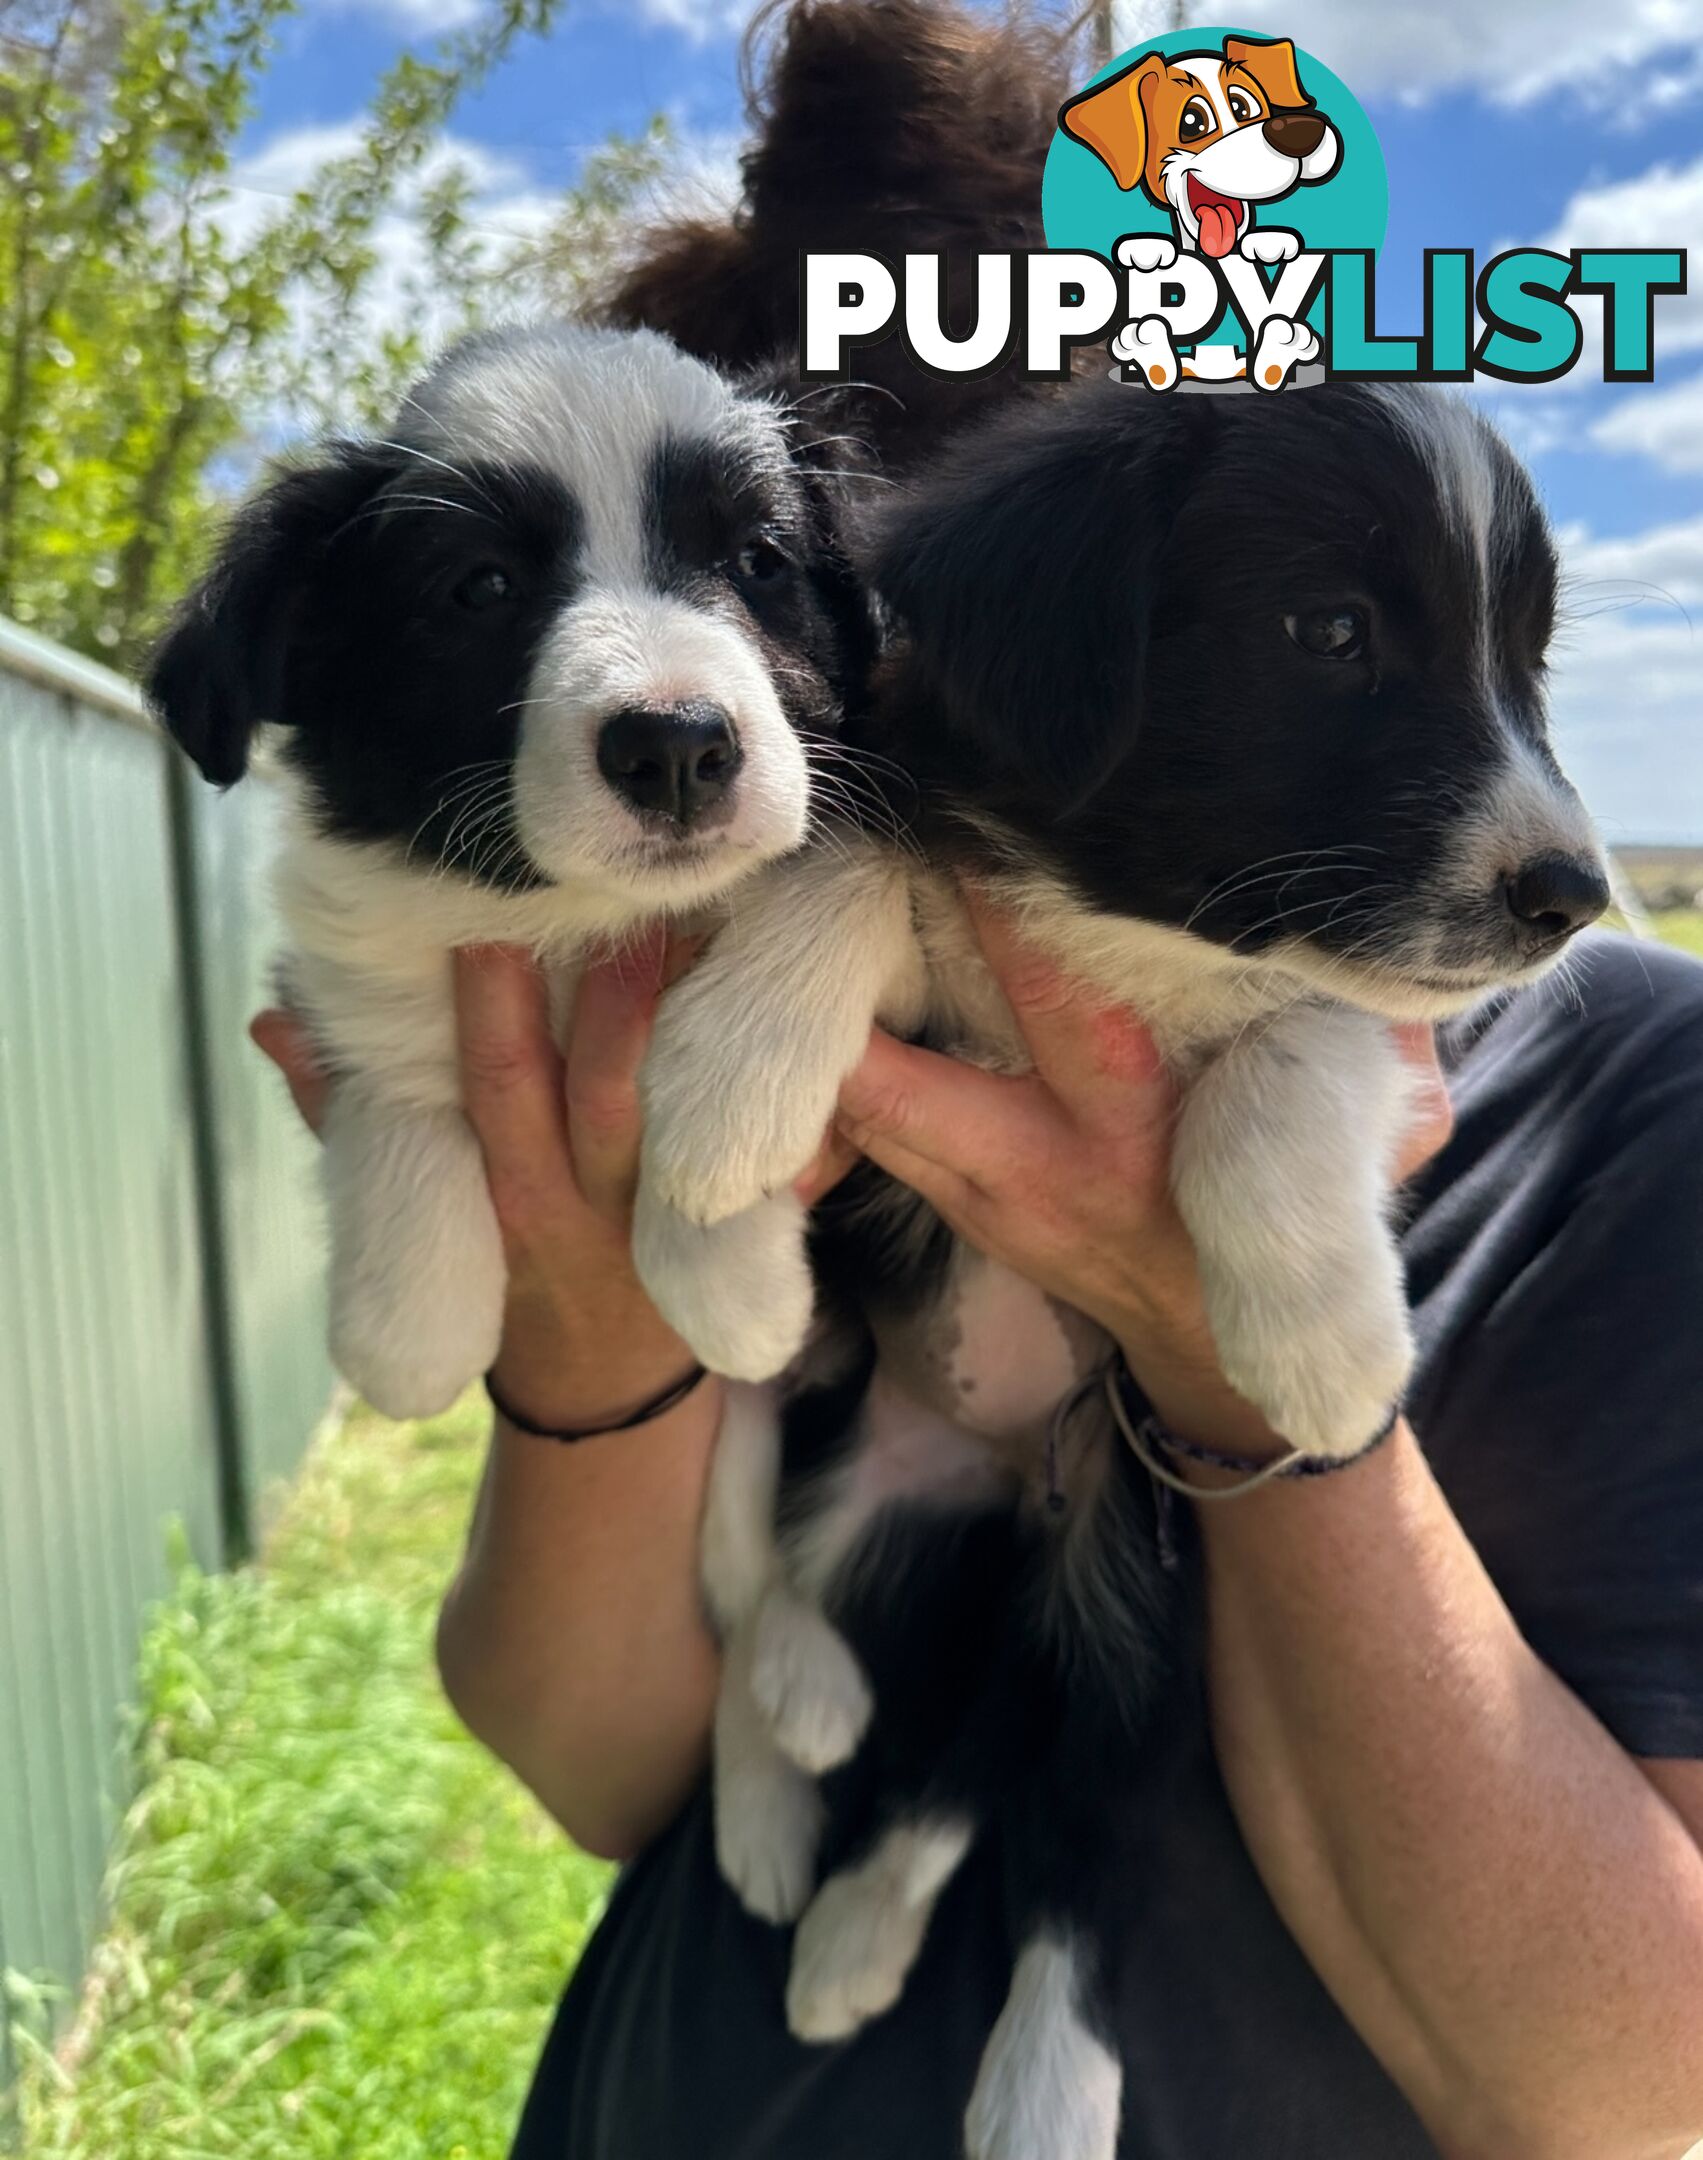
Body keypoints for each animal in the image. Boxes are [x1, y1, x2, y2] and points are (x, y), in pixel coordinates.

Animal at [148, 319, 873, 1416]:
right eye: (481, 587)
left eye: (759, 559)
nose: (674, 750)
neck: (573, 916)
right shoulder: (347, 948)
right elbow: (391, 1056)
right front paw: (407, 1325)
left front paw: (722, 1214)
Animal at [635, 384, 1607, 2160]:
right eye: (1329, 630)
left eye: (1525, 663)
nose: (1567, 900)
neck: (1139, 927)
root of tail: (1015, 1483)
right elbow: (848, 855)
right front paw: (730, 1078)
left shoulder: (1365, 1022)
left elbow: (1284, 1056)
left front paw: (1324, 1351)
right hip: (863, 1483)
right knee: (856, 1682)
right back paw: (811, 1851)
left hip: (1141, 1592)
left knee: (1071, 1830)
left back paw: (1033, 2082)